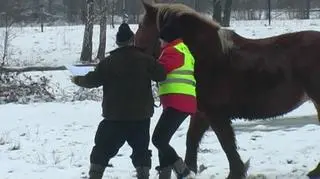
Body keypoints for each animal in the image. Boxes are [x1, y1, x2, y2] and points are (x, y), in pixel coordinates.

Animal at [134, 0, 320, 178]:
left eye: (142, 25)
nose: (134, 49)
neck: (206, 56)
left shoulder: (216, 113)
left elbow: (226, 143)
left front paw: (236, 172)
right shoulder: (202, 113)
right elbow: (192, 139)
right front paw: (189, 170)